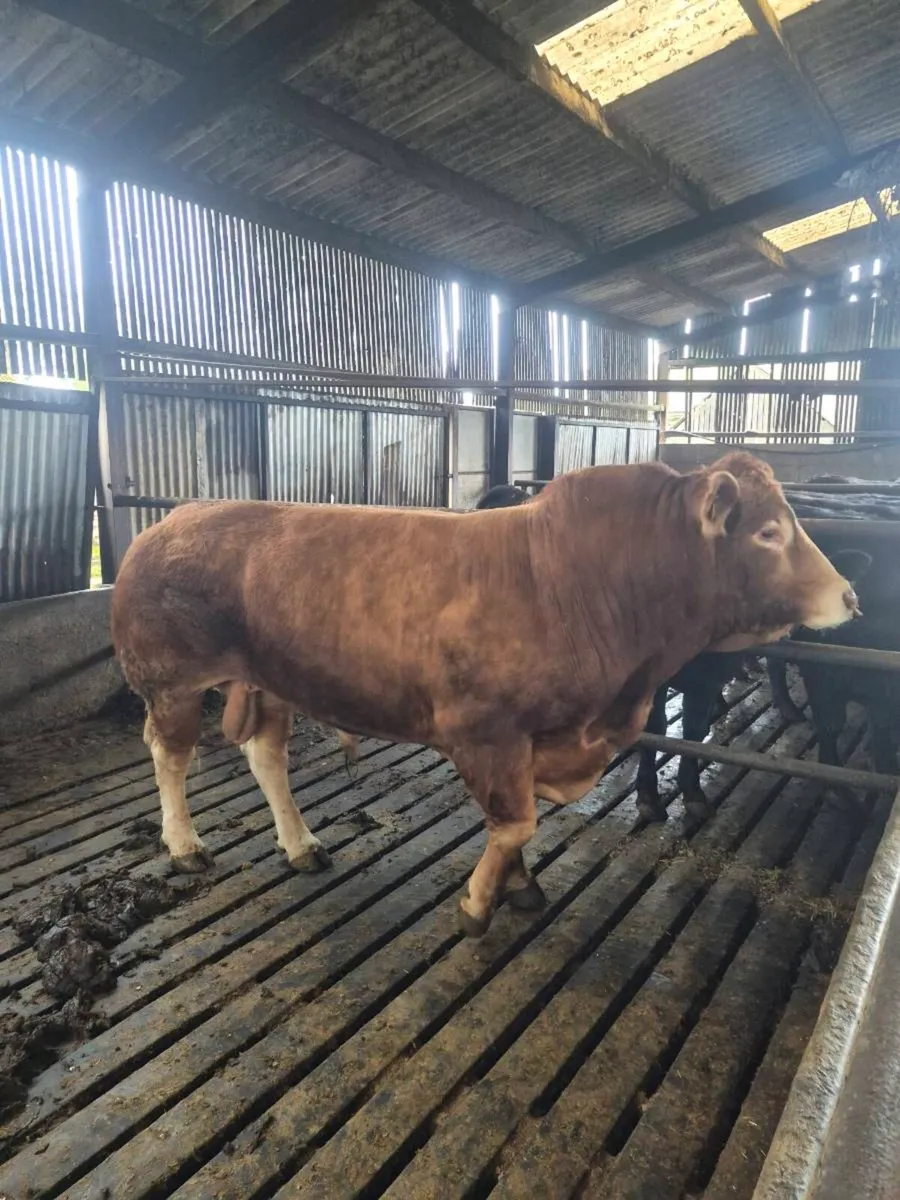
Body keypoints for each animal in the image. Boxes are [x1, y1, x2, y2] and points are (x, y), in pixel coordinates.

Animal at [111, 453, 859, 937]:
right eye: (768, 531)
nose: (849, 596)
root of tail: (171, 519)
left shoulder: (530, 738)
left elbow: (518, 826)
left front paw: (518, 888)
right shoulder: (484, 733)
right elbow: (515, 822)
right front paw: (477, 904)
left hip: (268, 680)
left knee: (266, 755)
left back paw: (301, 844)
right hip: (169, 679)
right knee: (168, 755)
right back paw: (184, 844)